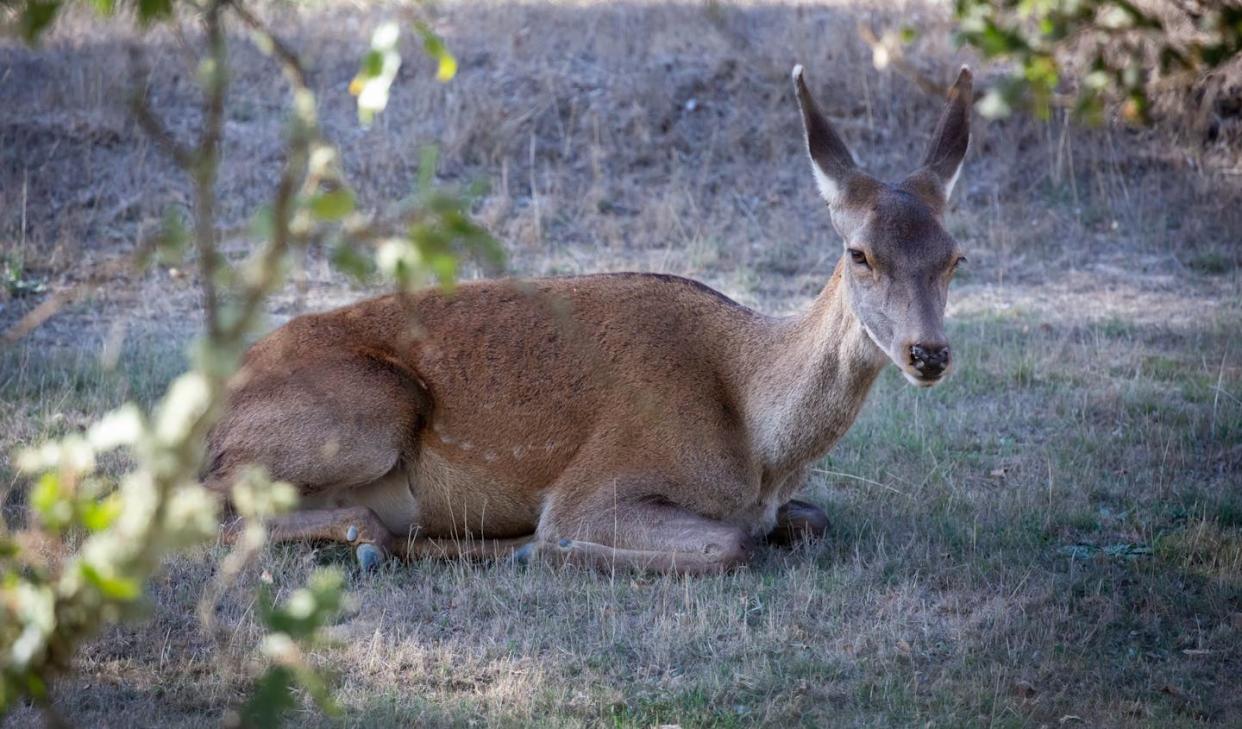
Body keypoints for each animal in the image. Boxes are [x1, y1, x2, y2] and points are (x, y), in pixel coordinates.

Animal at [203, 65, 973, 573]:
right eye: (859, 253)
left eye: (957, 256)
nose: (929, 352)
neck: (757, 448)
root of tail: (214, 411)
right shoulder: (599, 481)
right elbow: (730, 545)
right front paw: (555, 547)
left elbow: (812, 519)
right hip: (370, 409)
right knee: (221, 503)